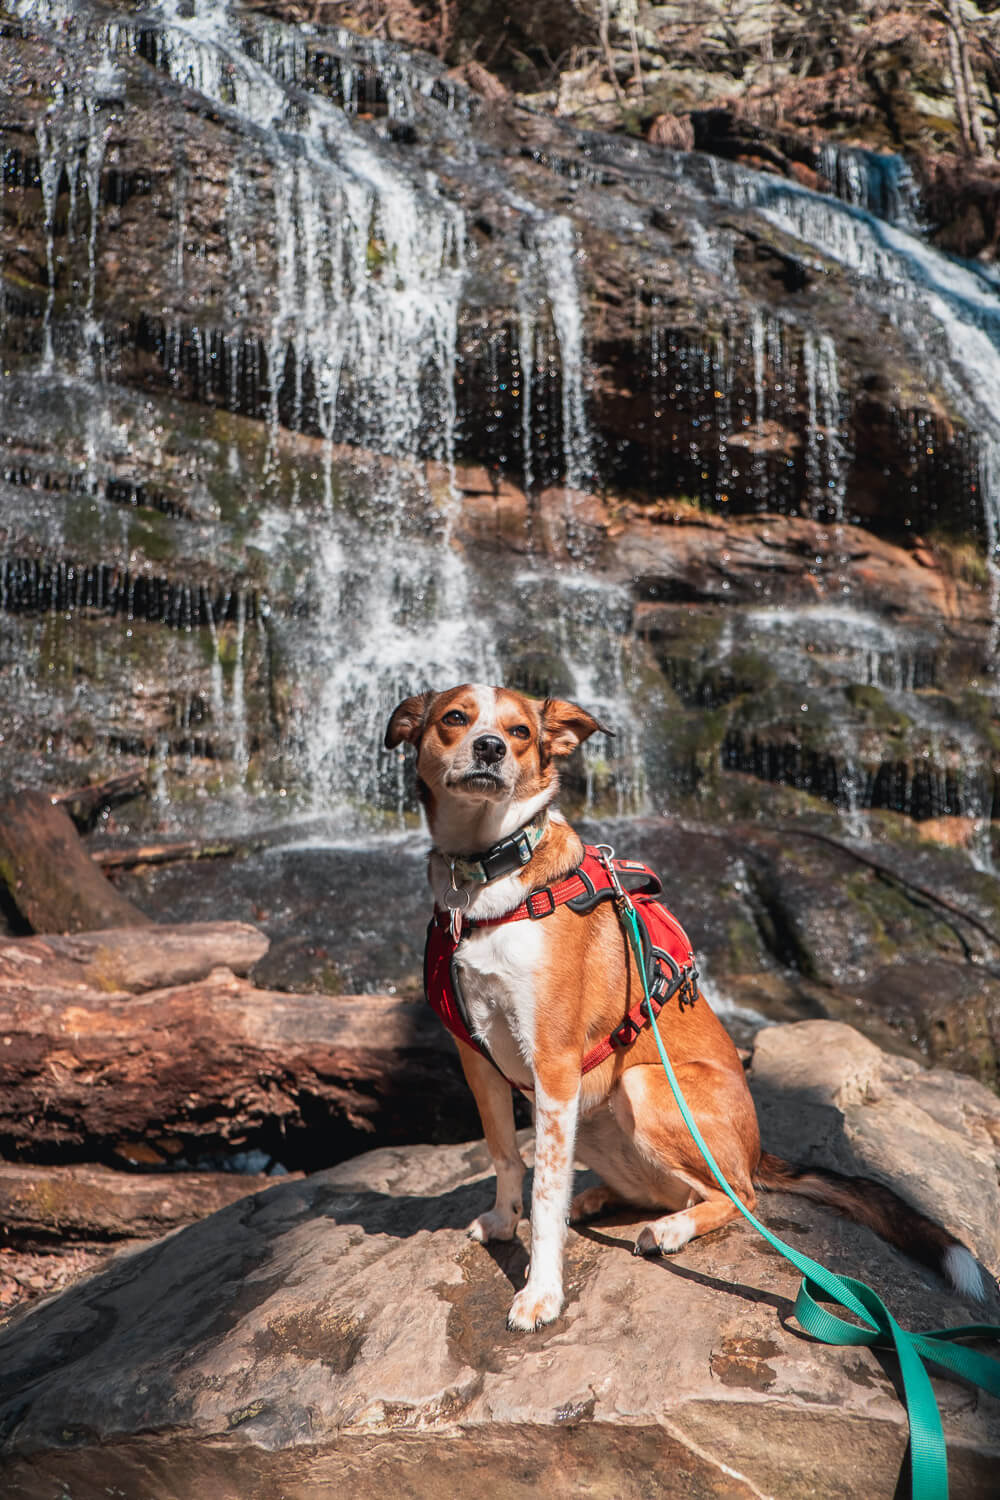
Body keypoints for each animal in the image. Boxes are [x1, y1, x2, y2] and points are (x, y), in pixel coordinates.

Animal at [383, 687, 983, 1332]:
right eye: (455, 719)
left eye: (519, 732)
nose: (490, 749)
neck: (487, 880)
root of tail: (755, 1151)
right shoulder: (477, 1059)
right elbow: (504, 1156)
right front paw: (502, 1220)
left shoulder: (553, 1065)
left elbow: (544, 1195)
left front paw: (540, 1293)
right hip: (592, 1116)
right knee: (668, 1188)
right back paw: (598, 1198)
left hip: (643, 1087)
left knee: (737, 1196)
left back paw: (670, 1228)